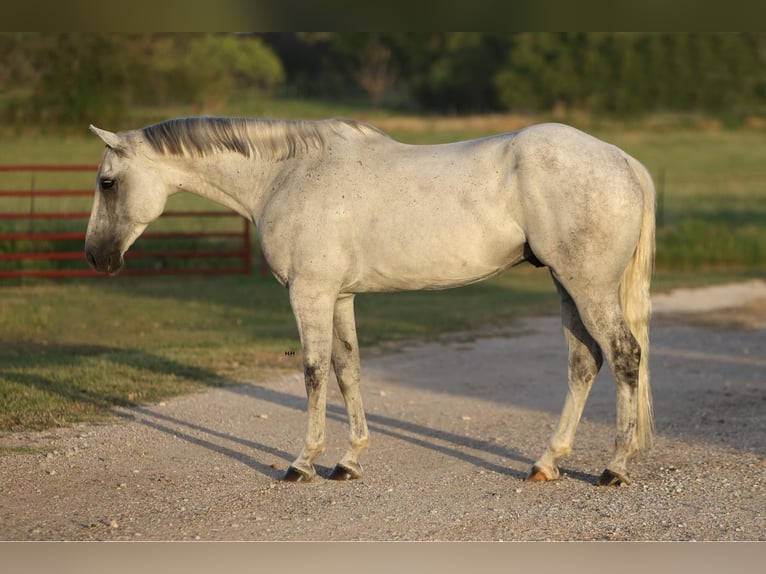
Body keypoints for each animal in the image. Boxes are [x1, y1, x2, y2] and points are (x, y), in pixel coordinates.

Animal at [85, 116, 655, 486]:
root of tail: (623, 160)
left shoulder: (310, 293)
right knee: (585, 362)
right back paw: (546, 462)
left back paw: (614, 468)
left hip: (587, 286)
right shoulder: (339, 297)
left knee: (624, 356)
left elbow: (314, 371)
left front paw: (303, 462)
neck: (287, 175)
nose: (96, 256)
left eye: (107, 182)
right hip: (567, 285)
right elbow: (347, 369)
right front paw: (349, 461)